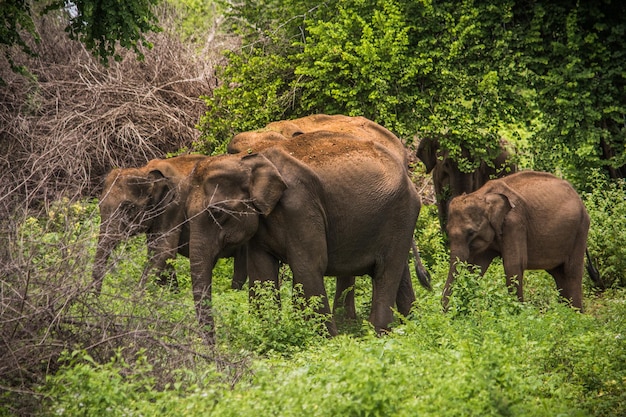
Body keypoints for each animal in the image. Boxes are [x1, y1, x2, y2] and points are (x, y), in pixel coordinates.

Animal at [91, 154, 247, 294]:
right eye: (99, 206)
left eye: (129, 208)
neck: (146, 170)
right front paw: (173, 295)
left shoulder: (174, 206)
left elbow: (163, 251)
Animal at [184, 131, 420, 342]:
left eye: (217, 213)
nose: (214, 346)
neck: (249, 159)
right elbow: (261, 271)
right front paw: (268, 334)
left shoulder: (300, 206)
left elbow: (308, 265)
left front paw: (330, 343)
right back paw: (410, 325)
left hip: (401, 214)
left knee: (385, 272)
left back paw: (378, 334)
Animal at [442, 171, 588, 310]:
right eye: (447, 231)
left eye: (471, 233)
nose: (447, 311)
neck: (483, 195)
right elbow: (477, 267)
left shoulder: (514, 223)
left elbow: (514, 265)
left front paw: (518, 311)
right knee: (559, 274)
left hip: (581, 229)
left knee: (571, 271)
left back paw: (575, 314)